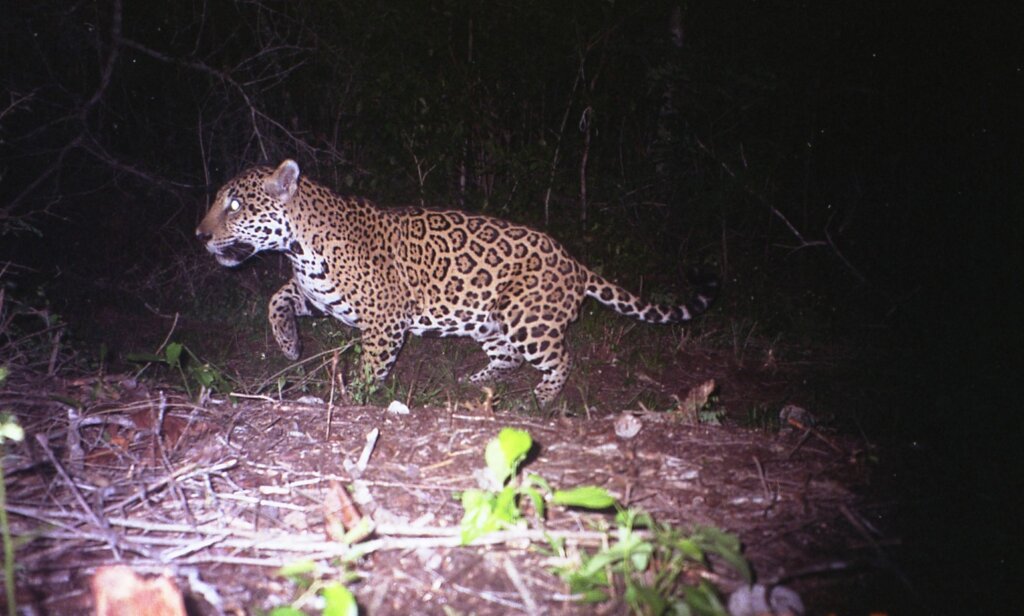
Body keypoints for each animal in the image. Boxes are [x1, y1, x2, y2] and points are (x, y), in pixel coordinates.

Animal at [196, 159, 718, 404]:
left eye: (235, 205)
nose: (200, 235)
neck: (300, 246)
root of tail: (574, 261)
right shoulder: (320, 297)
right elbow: (276, 298)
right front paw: (288, 344)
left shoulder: (385, 318)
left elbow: (371, 364)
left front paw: (359, 396)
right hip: (487, 320)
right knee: (506, 357)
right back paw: (475, 382)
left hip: (527, 320)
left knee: (560, 358)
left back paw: (542, 399)